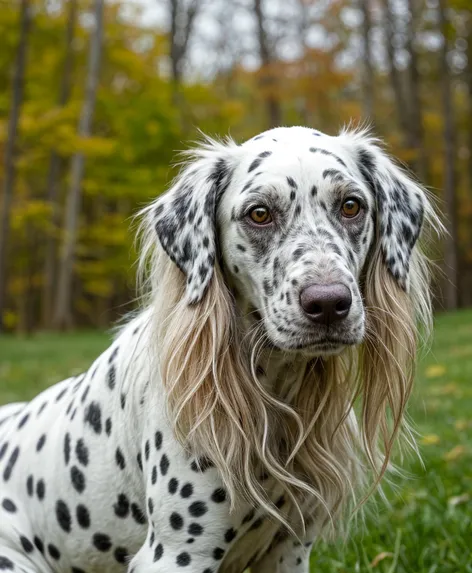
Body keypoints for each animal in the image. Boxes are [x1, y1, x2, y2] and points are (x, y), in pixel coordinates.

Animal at [0, 126, 438, 572]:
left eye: (351, 206)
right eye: (259, 213)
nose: (330, 303)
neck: (275, 395)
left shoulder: (291, 549)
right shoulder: (177, 554)